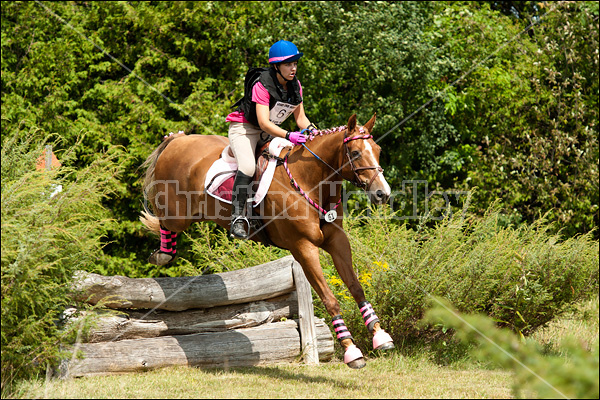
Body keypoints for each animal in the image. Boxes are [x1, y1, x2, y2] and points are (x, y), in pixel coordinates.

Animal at [139, 112, 394, 368]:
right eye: (356, 153)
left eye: (378, 149)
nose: (383, 193)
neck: (310, 181)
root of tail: (179, 141)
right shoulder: (303, 247)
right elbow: (329, 299)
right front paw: (351, 350)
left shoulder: (336, 240)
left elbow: (356, 288)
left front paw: (380, 336)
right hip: (177, 215)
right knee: (162, 220)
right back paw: (162, 255)